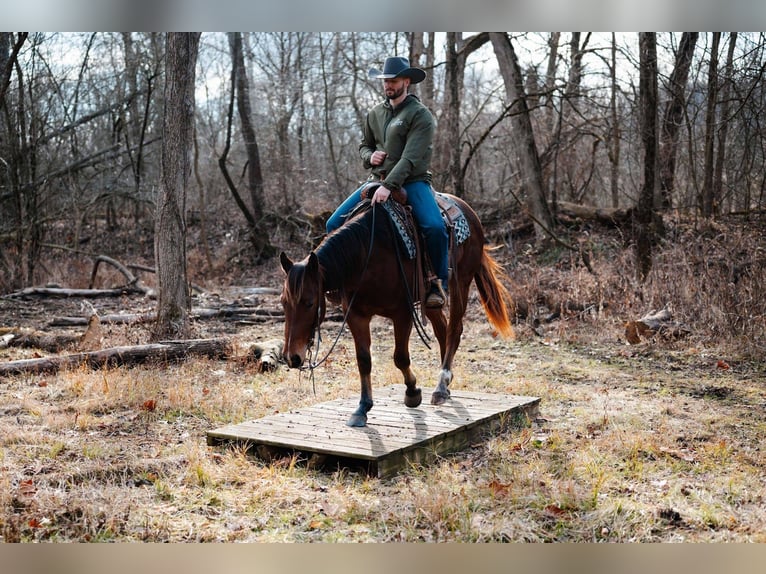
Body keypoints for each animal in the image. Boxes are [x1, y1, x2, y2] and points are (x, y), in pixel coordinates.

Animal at [279, 194, 515, 427]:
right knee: (442, 330)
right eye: (283, 302)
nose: (292, 358)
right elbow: (364, 360)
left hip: (461, 284)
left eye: (309, 302)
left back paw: (441, 385)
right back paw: (446, 386)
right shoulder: (356, 314)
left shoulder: (403, 312)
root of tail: (468, 209)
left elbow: (400, 357)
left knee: (454, 330)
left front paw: (412, 392)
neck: (365, 255)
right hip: (430, 302)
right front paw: (362, 408)